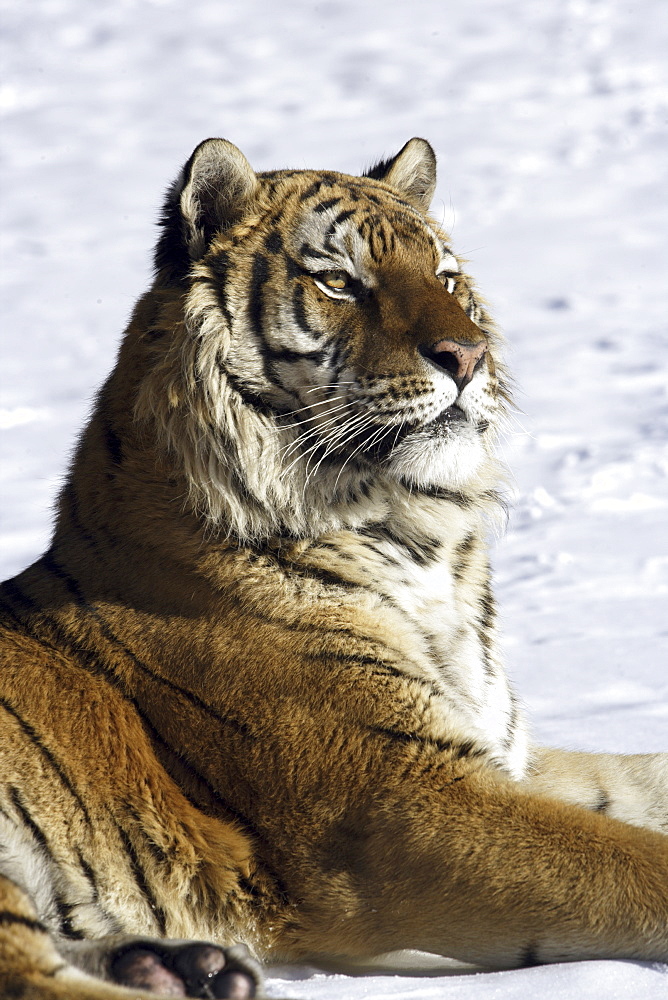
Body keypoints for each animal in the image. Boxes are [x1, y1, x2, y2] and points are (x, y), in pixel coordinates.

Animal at [1, 139, 668, 1000]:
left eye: (446, 276)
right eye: (340, 282)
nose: (469, 355)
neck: (421, 542)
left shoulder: (492, 753)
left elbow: (637, 781)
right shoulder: (394, 796)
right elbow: (637, 861)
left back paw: (184, 966)